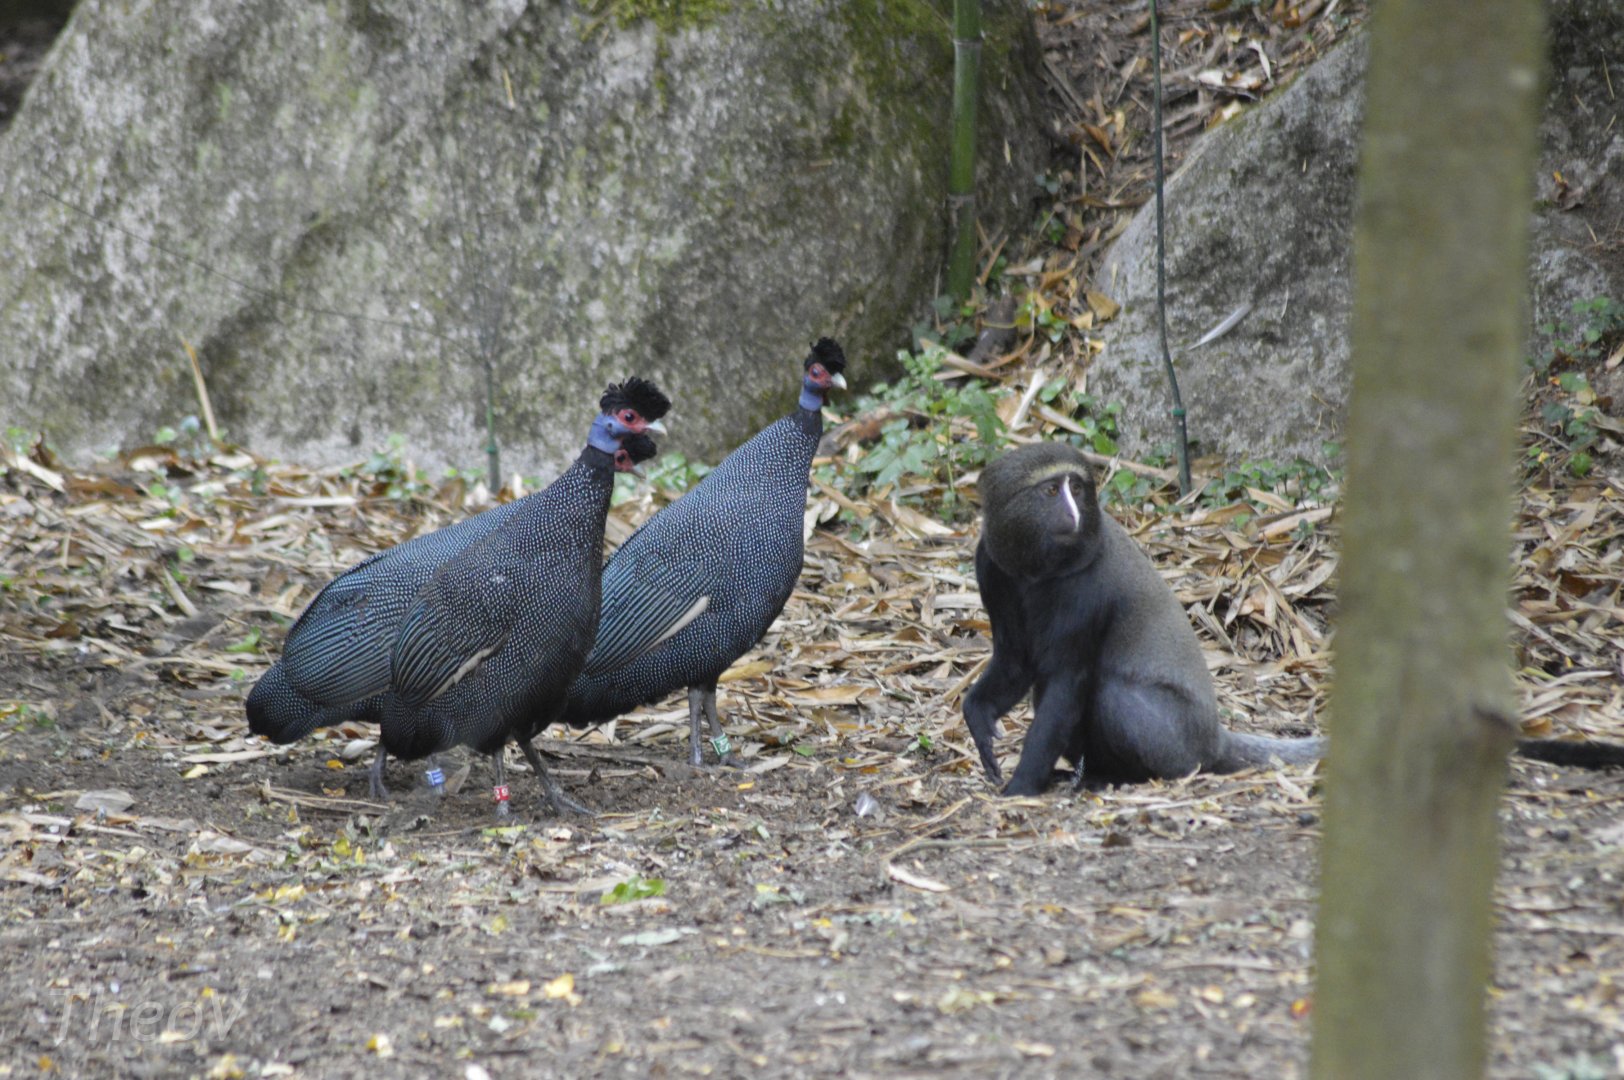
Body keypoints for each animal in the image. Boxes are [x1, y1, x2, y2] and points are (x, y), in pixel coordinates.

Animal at [962, 442, 1624, 797]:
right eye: (1050, 492)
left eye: (1076, 487)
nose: (1074, 513)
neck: (1038, 569)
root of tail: (1214, 736)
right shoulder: (991, 564)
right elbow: (1017, 661)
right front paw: (982, 725)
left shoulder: (1087, 588)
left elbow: (1067, 681)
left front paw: (1018, 789)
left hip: (1174, 737)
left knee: (1112, 695)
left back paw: (1114, 777)